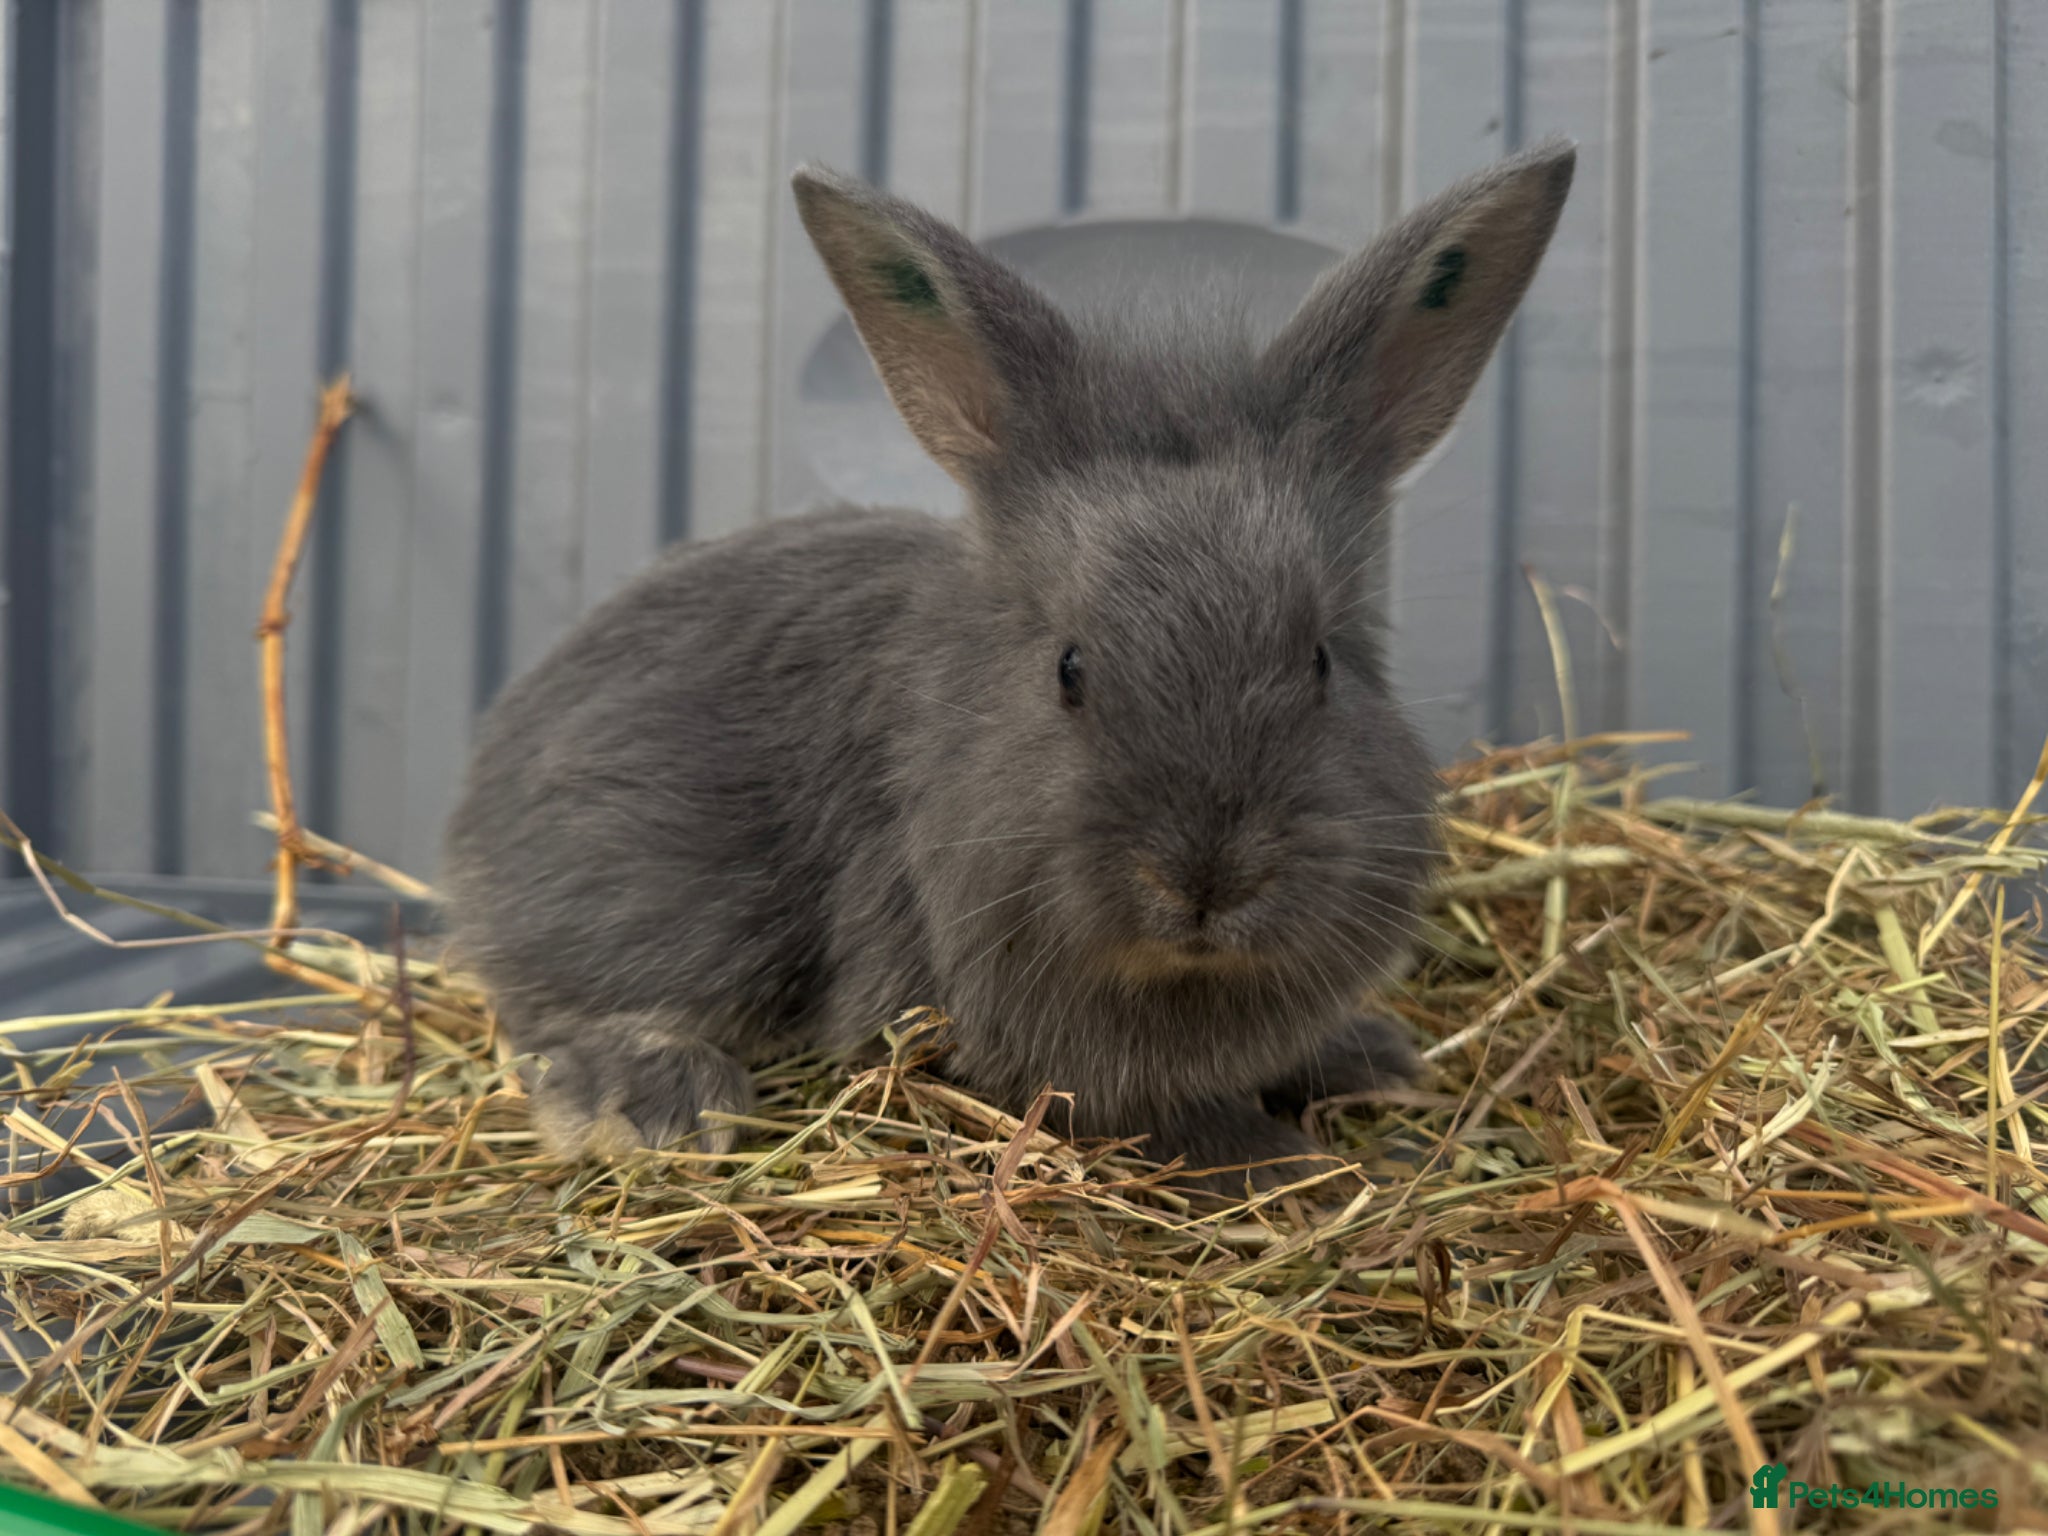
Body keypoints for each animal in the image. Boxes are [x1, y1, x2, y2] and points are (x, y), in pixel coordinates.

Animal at [441, 139, 1575, 1195]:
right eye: (1068, 670)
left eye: (1320, 663)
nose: (1205, 878)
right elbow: (1176, 1121)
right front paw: (1304, 1168)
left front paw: (1375, 1060)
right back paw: (654, 1106)